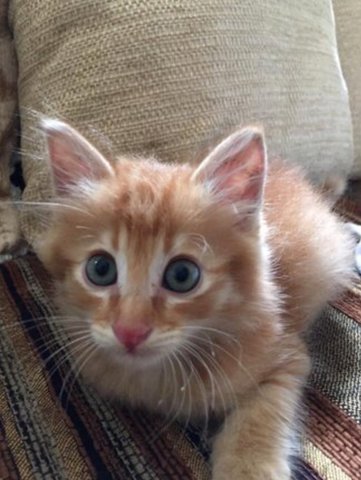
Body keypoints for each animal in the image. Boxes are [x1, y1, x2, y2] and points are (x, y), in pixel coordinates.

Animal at [38, 118, 352, 478]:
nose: (130, 331)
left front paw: (247, 467)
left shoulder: (287, 356)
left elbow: (257, 423)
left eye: (182, 275)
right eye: (100, 269)